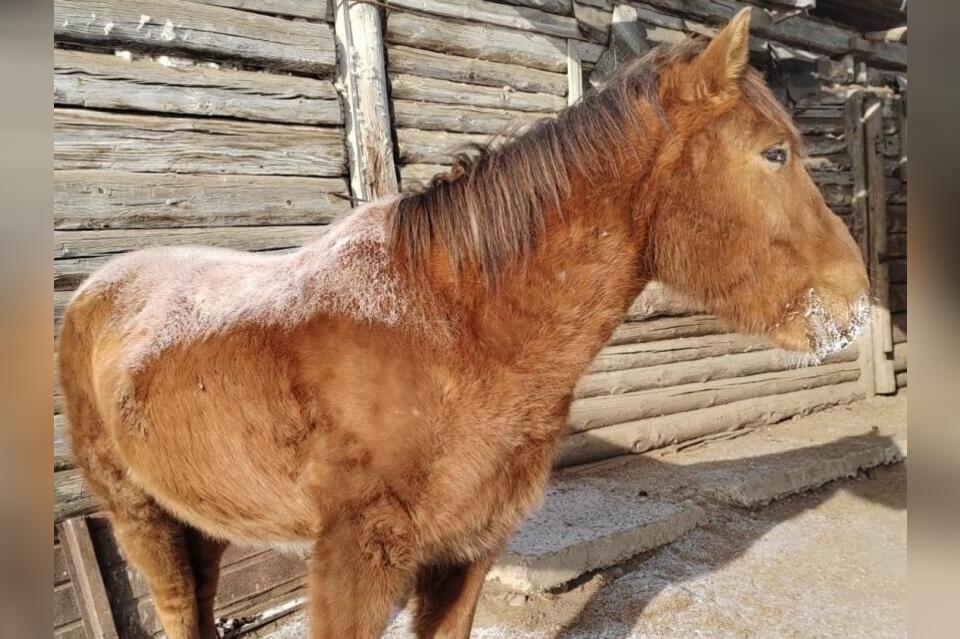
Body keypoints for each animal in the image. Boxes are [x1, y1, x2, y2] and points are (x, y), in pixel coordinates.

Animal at [58, 10, 872, 639]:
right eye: (774, 153)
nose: (855, 304)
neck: (450, 330)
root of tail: (94, 290)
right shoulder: (353, 564)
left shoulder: (470, 547)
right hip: (138, 516)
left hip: (200, 519)